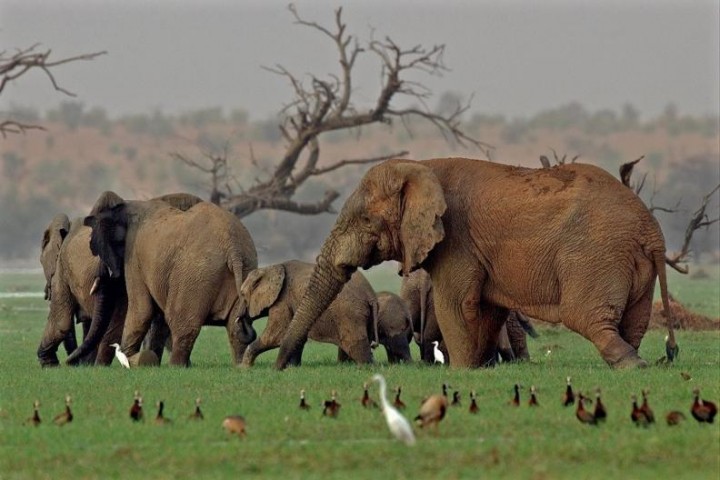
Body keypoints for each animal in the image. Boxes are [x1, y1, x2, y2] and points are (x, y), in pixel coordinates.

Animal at [77, 189, 258, 366]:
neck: (126, 204)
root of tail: (233, 249)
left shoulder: (134, 256)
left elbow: (141, 310)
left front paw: (130, 363)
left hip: (195, 274)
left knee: (181, 322)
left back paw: (177, 367)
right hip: (245, 268)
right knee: (235, 325)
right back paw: (240, 367)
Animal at [239, 260, 380, 366]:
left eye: (242, 294)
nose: (242, 318)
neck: (272, 267)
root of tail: (370, 295)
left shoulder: (283, 300)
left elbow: (276, 336)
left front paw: (245, 367)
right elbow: (296, 335)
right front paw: (293, 368)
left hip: (349, 314)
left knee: (354, 344)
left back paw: (367, 367)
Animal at [272, 159, 676, 370]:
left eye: (367, 221)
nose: (281, 367)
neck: (422, 167)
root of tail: (652, 230)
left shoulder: (457, 239)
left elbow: (457, 305)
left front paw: (462, 371)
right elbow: (486, 308)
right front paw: (481, 368)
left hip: (594, 255)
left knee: (587, 318)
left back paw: (632, 365)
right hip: (631, 262)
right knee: (634, 321)